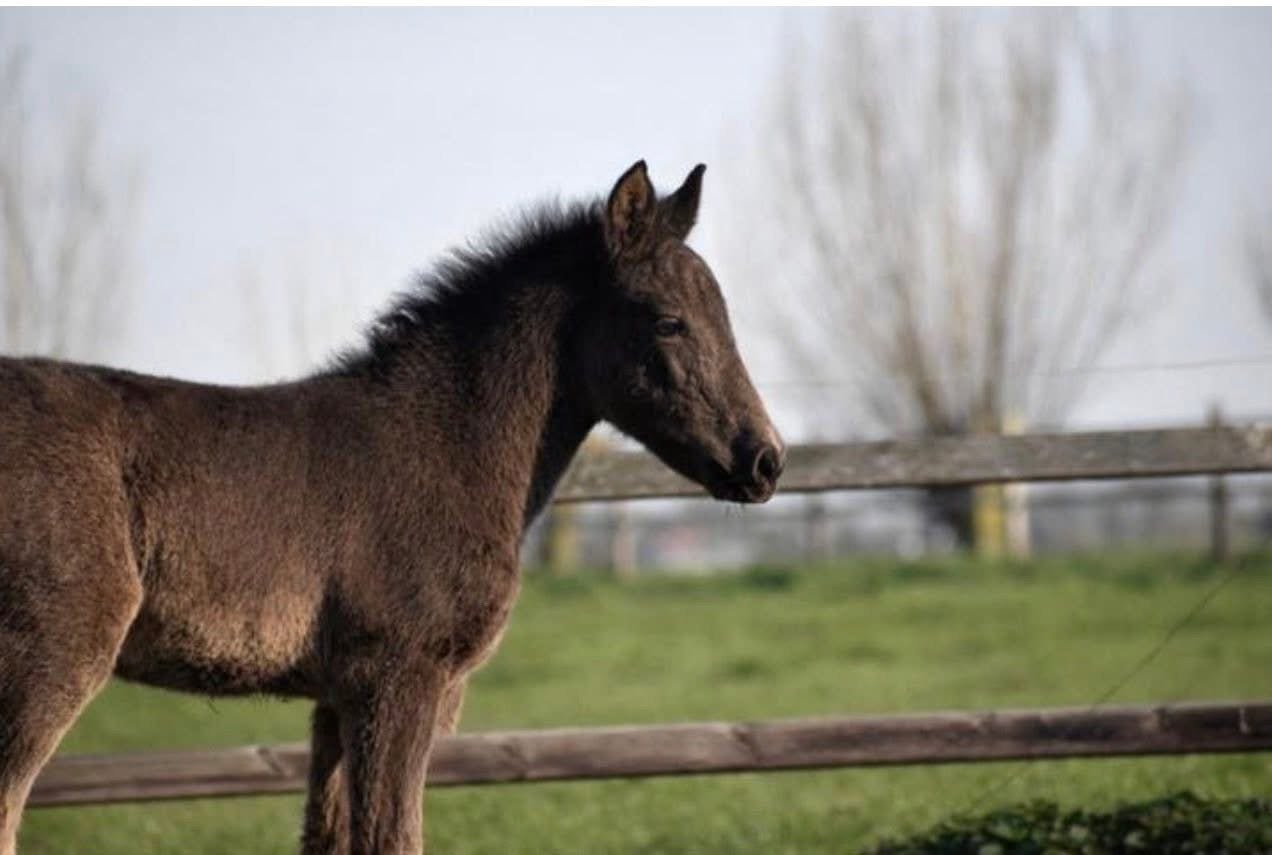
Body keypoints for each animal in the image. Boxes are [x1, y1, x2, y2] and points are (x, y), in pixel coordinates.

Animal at [0, 161, 784, 854]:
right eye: (670, 322)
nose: (765, 459)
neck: (445, 445)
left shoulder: (337, 696)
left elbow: (330, 836)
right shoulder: (399, 676)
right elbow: (392, 837)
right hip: (46, 657)